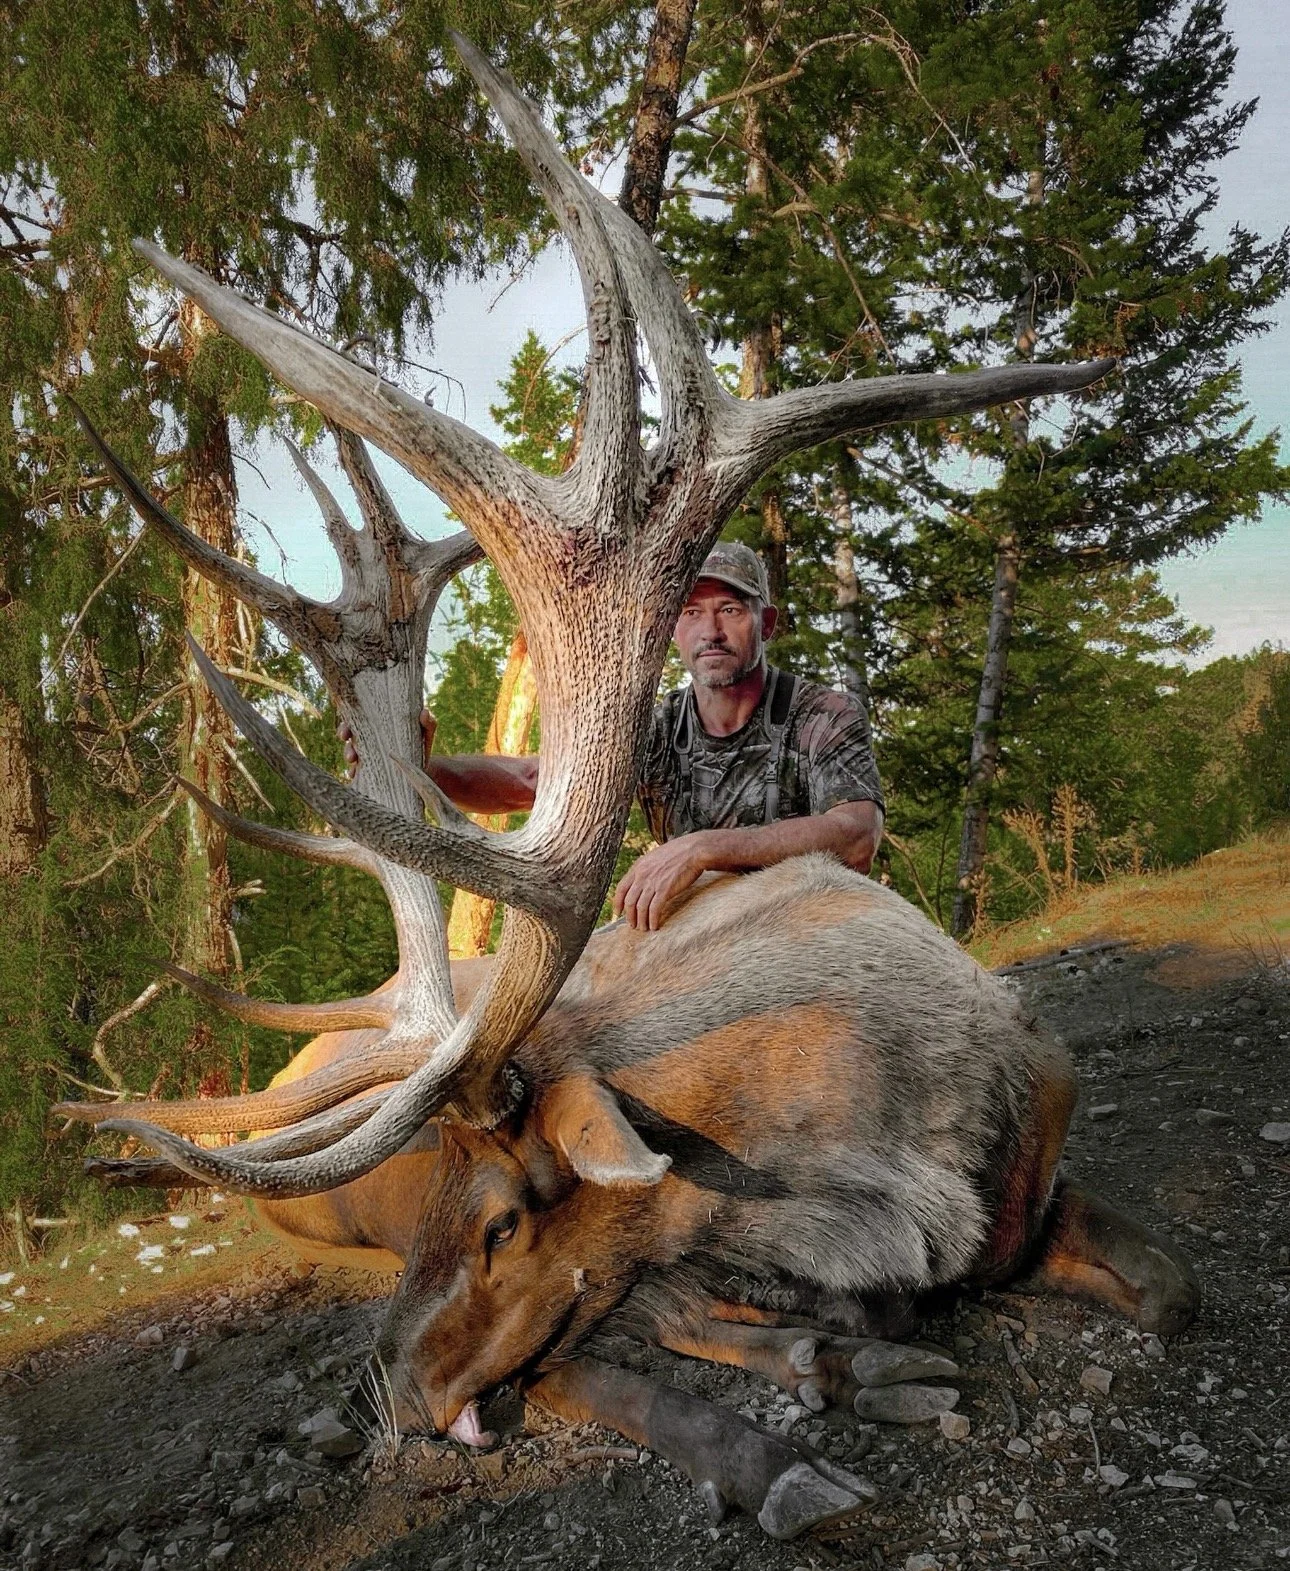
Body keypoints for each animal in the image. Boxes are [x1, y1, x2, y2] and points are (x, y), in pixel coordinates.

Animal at [53, 34, 1200, 1541]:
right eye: (440, 1201)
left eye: (505, 1211)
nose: (387, 1394)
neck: (904, 1147)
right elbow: (668, 1321)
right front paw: (815, 1389)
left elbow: (1171, 1287)